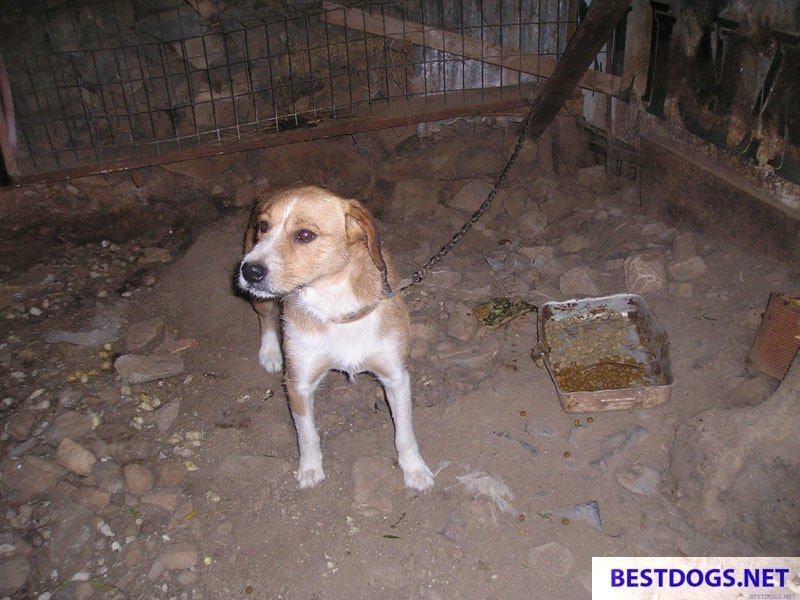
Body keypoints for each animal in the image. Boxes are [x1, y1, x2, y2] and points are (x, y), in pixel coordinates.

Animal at [238, 186, 434, 492]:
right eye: (264, 226)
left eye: (305, 235)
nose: (249, 270)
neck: (334, 306)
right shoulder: (298, 384)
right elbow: (307, 435)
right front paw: (309, 469)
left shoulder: (396, 377)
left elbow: (405, 433)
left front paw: (415, 469)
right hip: (261, 297)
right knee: (266, 317)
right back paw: (270, 353)